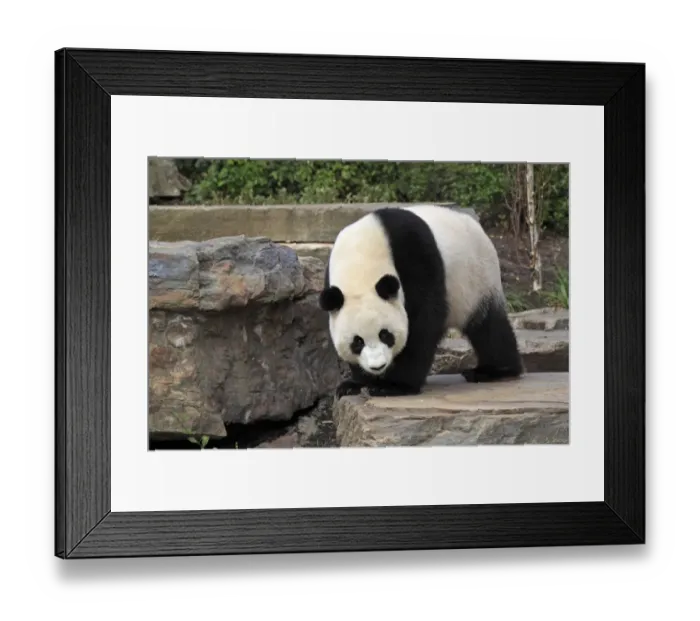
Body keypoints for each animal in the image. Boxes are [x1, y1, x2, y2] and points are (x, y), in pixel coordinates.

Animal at [318, 204, 524, 399]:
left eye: (385, 334)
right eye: (357, 342)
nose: (378, 366)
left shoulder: (414, 254)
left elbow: (423, 320)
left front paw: (393, 386)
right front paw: (354, 383)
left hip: (477, 279)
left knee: (488, 326)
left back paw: (495, 371)